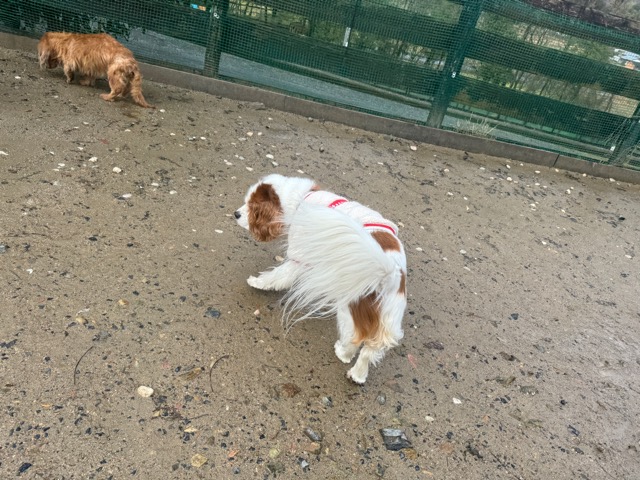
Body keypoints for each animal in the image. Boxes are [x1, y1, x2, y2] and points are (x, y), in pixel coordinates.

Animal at [235, 174, 407, 384]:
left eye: (251, 206)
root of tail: (389, 274)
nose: (235, 214)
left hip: (348, 308)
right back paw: (357, 375)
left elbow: (279, 275)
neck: (302, 198)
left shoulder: (300, 255)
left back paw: (342, 353)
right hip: (389, 317)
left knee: (355, 338)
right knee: (370, 351)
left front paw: (257, 282)